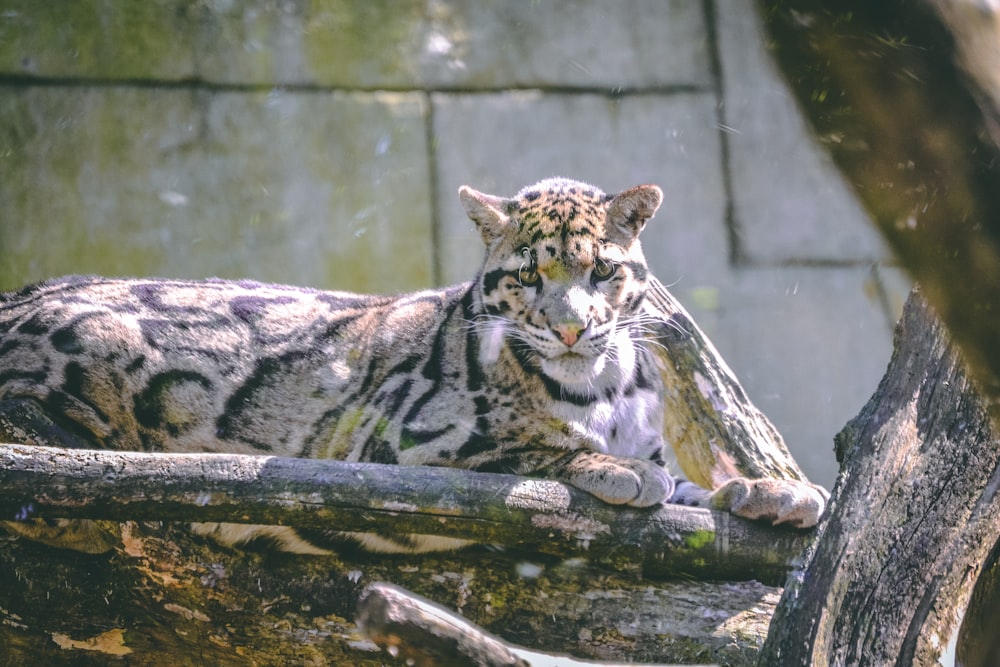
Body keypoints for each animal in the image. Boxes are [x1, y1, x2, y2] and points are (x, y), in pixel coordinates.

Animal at [1, 176, 828, 552]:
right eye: (530, 276)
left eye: (601, 271)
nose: (570, 328)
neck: (600, 384)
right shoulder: (393, 439)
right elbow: (526, 443)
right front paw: (612, 467)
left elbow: (695, 483)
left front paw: (771, 489)